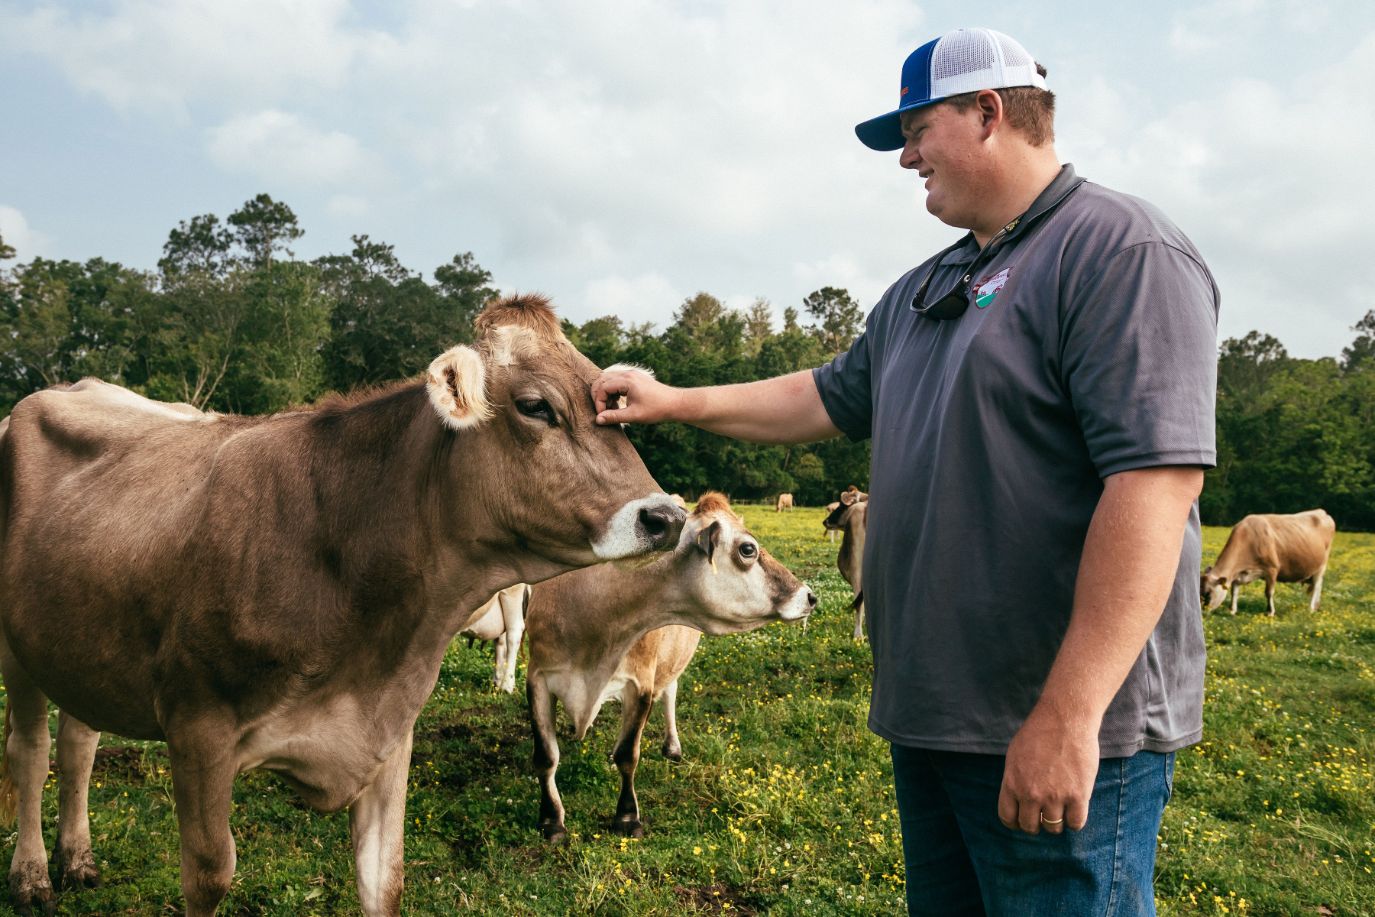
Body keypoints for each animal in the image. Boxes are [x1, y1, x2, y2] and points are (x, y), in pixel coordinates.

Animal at [0, 295, 687, 917]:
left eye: (616, 411)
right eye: (536, 406)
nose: (667, 517)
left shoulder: (388, 731)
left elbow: (384, 880)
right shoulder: (197, 728)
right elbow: (209, 876)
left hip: (79, 637)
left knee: (78, 743)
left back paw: (79, 860)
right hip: (16, 647)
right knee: (31, 753)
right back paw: (33, 875)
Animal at [519, 494, 808, 846]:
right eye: (748, 549)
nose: (809, 595)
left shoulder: (639, 683)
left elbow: (628, 755)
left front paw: (627, 817)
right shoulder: (537, 678)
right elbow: (546, 757)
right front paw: (551, 821)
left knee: (670, 692)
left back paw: (672, 747)